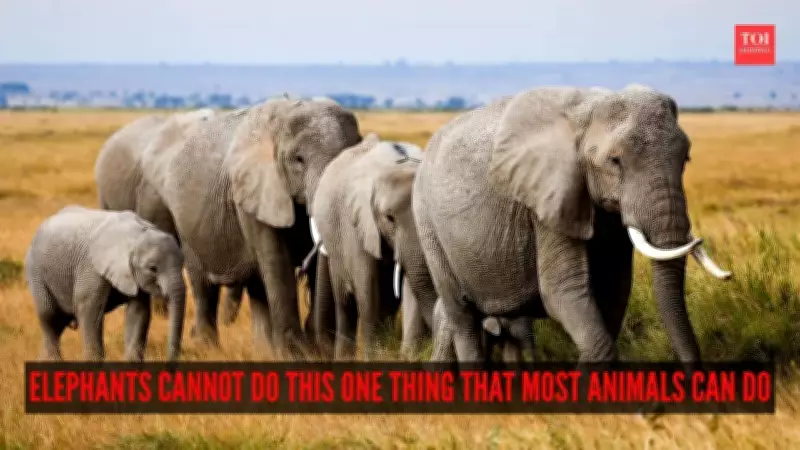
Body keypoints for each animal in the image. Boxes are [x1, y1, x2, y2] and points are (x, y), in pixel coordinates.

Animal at [25, 205, 186, 361]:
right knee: (49, 317)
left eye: (183, 263)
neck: (136, 234)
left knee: (58, 324)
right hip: (36, 271)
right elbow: (89, 308)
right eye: (152, 268)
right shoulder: (91, 267)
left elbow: (138, 311)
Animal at [137, 98, 362, 359]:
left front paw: (316, 350)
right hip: (187, 222)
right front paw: (295, 354)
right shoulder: (253, 191)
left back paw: (263, 350)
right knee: (204, 284)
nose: (316, 336)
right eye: (298, 159)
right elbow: (276, 260)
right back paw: (207, 348)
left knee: (257, 287)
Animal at [308, 133, 438, 360]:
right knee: (345, 300)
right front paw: (375, 357)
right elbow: (367, 286)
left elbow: (412, 286)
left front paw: (409, 357)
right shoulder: (357, 224)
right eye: (389, 218)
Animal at [412, 85, 732, 363]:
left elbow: (614, 289)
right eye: (615, 161)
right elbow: (562, 291)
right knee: (462, 316)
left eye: (686, 159)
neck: (589, 110)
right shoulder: (548, 198)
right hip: (426, 220)